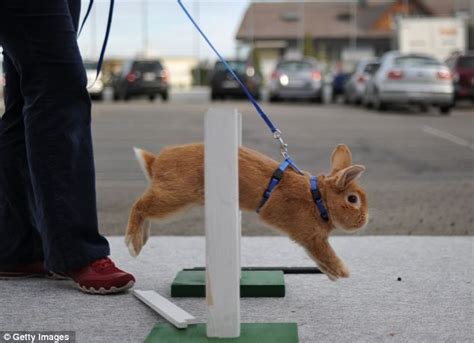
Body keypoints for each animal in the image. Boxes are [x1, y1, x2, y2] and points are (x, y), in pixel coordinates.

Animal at [125, 144, 366, 280]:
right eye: (352, 199)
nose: (364, 221)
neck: (319, 199)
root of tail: (156, 162)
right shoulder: (312, 238)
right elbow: (327, 255)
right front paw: (344, 273)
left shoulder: (310, 241)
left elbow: (320, 260)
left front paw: (334, 276)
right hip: (174, 199)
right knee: (139, 205)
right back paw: (133, 244)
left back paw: (142, 239)